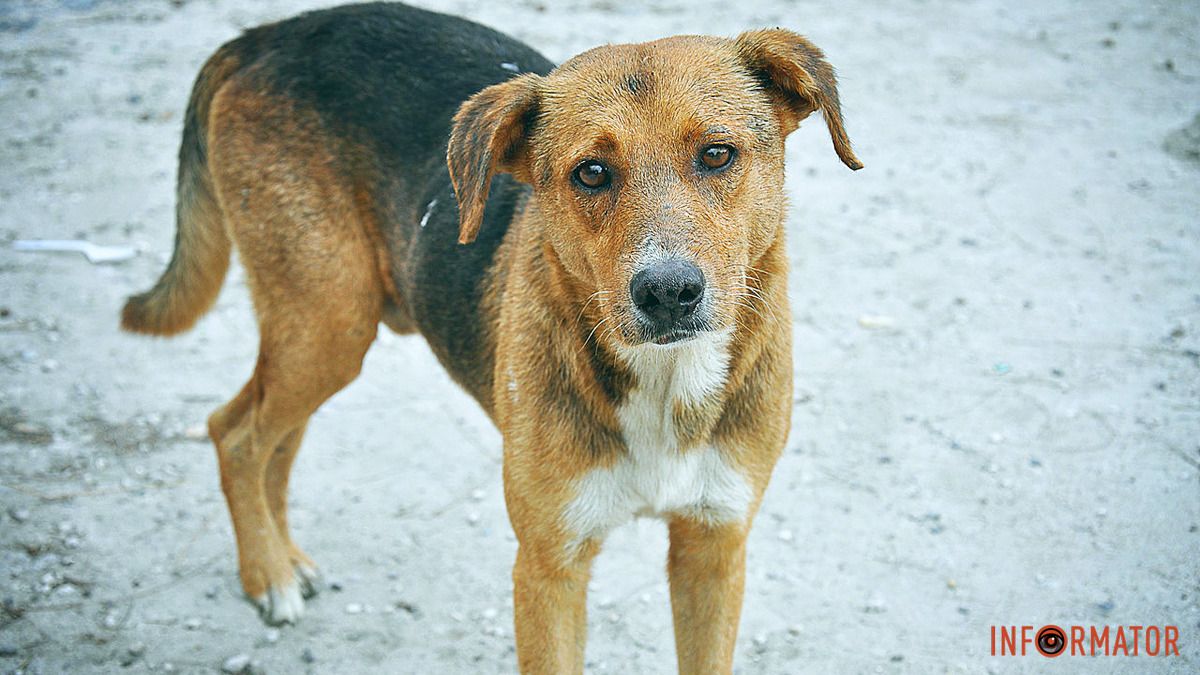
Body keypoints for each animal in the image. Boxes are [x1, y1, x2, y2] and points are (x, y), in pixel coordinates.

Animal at [117, 2, 859, 667]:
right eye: (591, 172)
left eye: (717, 154)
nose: (668, 293)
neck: (667, 380)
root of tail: (267, 34)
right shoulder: (548, 568)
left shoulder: (714, 549)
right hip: (327, 323)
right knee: (235, 432)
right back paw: (267, 573)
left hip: (321, 331)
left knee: (269, 432)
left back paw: (284, 557)